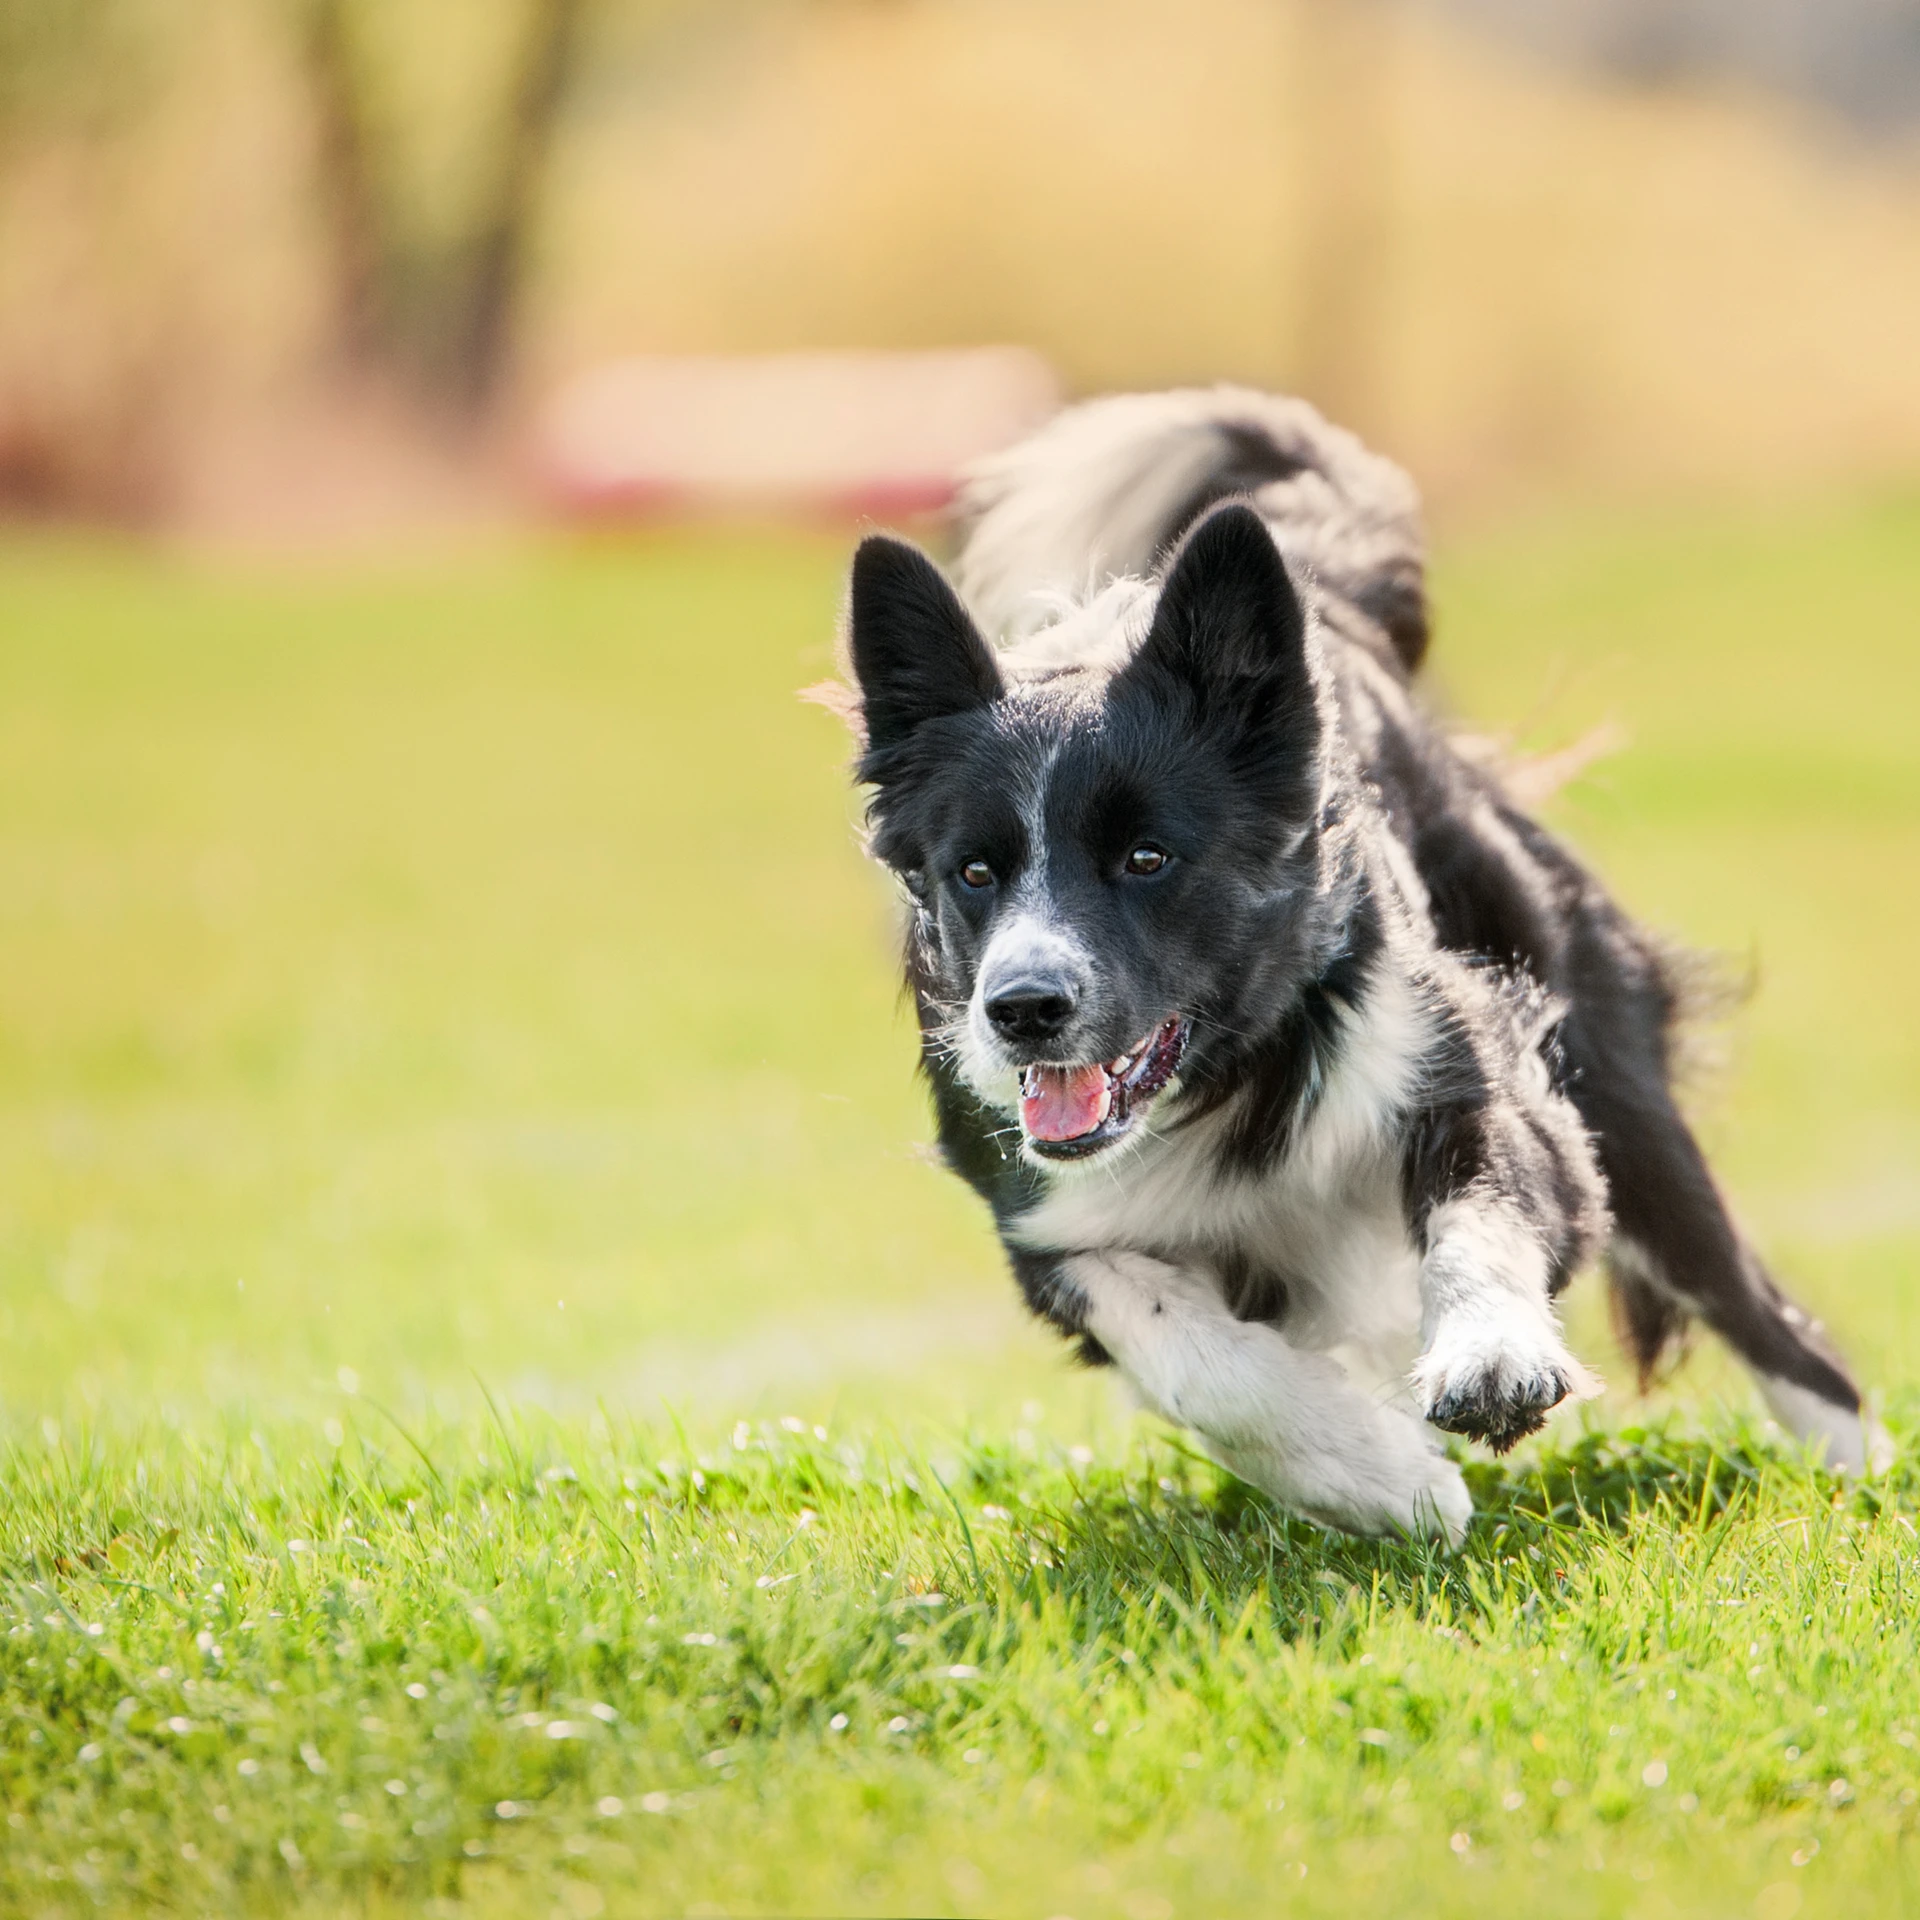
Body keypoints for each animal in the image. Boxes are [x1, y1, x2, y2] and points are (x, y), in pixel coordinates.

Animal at [829, 389, 1873, 1543]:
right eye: (974, 871)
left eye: (1147, 858)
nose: (1021, 1008)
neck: (1229, 1077)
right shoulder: (1048, 1224)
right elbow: (1193, 1356)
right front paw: (1382, 1476)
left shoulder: (1468, 1062)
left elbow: (1481, 1209)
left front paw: (1489, 1358)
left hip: (1607, 1069)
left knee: (1756, 1305)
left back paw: (1857, 1477)